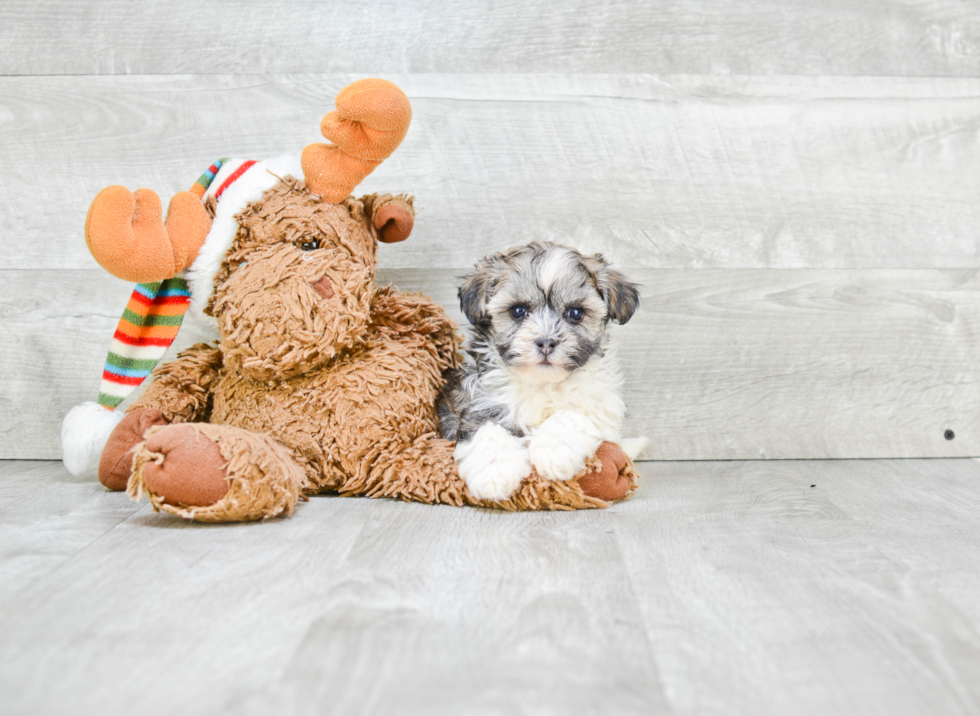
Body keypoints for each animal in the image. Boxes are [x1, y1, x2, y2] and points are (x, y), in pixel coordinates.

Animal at [438, 241, 640, 498]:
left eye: (575, 313)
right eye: (518, 311)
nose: (546, 342)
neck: (542, 382)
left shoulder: (603, 403)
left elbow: (572, 413)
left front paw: (555, 452)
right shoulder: (477, 396)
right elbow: (487, 425)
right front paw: (494, 470)